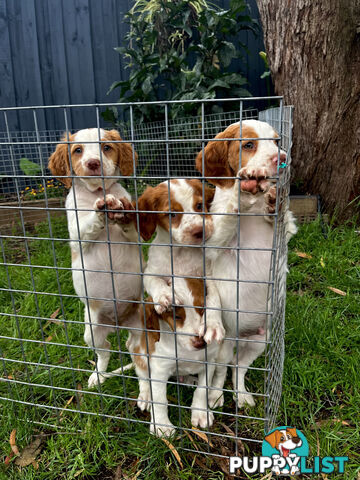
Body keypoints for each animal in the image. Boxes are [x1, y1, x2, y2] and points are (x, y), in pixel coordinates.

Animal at [47, 128, 142, 390]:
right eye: (78, 150)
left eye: (106, 147)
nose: (93, 163)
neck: (99, 192)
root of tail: (118, 323)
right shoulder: (76, 233)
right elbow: (87, 225)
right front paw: (100, 212)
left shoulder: (137, 236)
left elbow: (131, 226)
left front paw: (123, 213)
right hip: (91, 329)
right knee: (105, 351)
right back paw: (97, 376)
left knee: (133, 347)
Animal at [126, 276, 222, 436]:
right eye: (176, 316)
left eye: (203, 309)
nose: (201, 342)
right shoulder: (160, 370)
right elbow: (159, 400)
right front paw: (162, 426)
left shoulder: (209, 362)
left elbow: (202, 390)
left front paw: (201, 413)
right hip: (139, 353)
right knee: (143, 377)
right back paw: (146, 396)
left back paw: (189, 380)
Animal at [138, 178, 225, 344]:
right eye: (172, 214)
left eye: (199, 205)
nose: (199, 231)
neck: (181, 251)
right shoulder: (150, 272)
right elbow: (154, 281)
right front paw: (165, 296)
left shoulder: (208, 277)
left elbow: (213, 299)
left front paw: (212, 324)